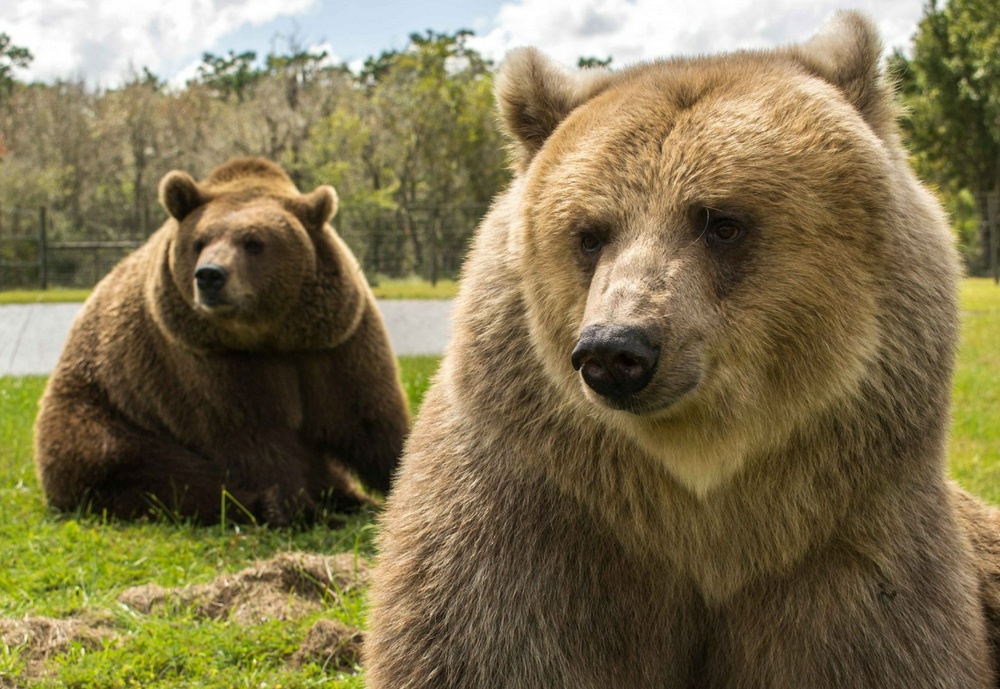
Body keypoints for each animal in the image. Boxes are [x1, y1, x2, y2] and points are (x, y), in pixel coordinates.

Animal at [34, 156, 410, 524]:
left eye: (254, 242)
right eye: (199, 242)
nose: (210, 275)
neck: (271, 335)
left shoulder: (333, 343)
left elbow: (371, 418)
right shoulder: (210, 361)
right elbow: (255, 437)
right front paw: (300, 510)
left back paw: (349, 498)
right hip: (107, 412)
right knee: (150, 471)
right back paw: (262, 503)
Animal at [368, 12, 1000, 688]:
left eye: (721, 222)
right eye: (589, 234)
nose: (616, 350)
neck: (699, 505)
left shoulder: (854, 545)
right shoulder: (529, 527)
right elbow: (482, 644)